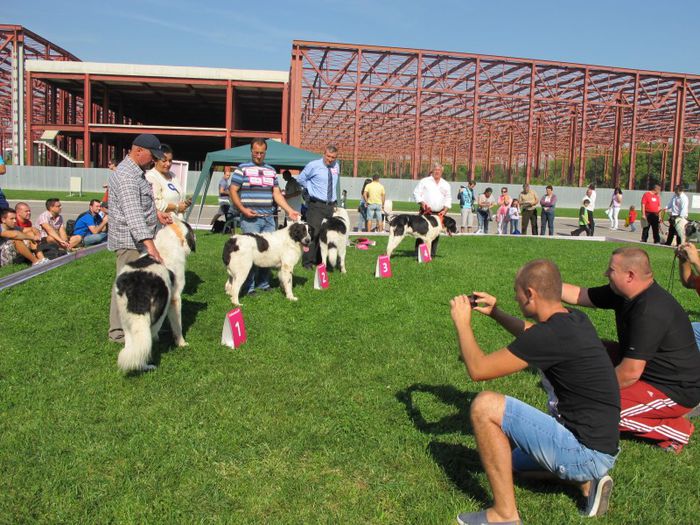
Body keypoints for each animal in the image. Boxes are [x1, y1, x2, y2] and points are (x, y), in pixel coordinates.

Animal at [115, 217, 196, 372]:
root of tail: (137, 284)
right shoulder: (175, 299)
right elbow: (178, 326)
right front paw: (182, 343)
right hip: (158, 313)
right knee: (148, 340)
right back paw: (148, 365)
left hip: (126, 319)